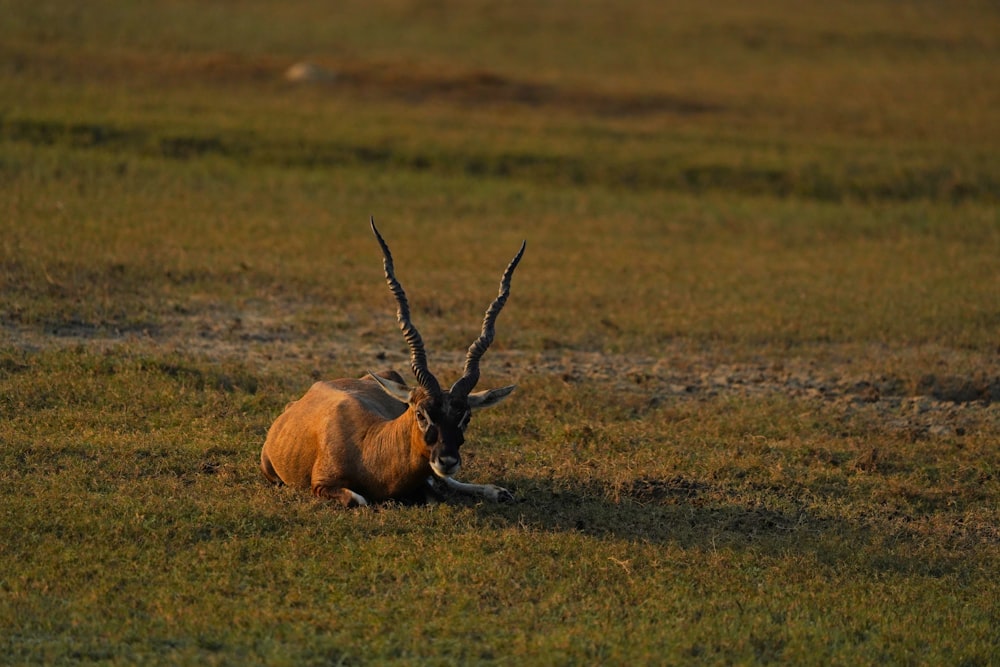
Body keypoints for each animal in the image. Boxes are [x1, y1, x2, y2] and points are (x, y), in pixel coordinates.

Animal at [258, 219, 528, 506]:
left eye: (466, 416)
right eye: (420, 413)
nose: (447, 460)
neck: (370, 448)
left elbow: (436, 491)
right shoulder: (321, 484)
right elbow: (360, 499)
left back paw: (498, 491)